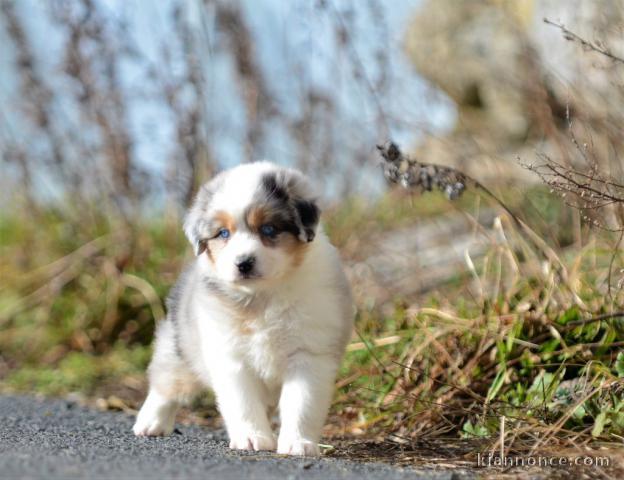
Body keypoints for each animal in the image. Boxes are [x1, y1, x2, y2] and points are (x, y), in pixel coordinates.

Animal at [133, 160, 354, 454]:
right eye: (223, 233)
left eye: (268, 229)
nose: (244, 263)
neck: (262, 297)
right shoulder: (230, 357)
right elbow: (243, 402)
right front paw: (252, 438)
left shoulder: (308, 355)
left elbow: (301, 404)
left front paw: (297, 443)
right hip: (181, 347)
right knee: (165, 383)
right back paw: (150, 423)